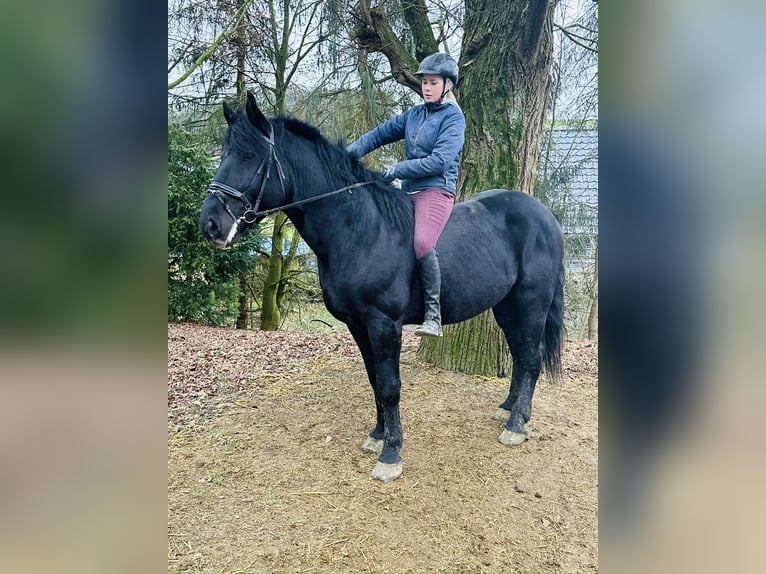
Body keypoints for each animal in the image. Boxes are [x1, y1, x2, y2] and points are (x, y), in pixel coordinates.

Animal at [201, 93, 568, 482]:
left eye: (248, 156)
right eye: (224, 153)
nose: (210, 224)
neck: (360, 229)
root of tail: (545, 217)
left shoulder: (384, 324)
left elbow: (390, 387)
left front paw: (391, 453)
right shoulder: (358, 325)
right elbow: (374, 380)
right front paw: (378, 435)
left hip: (531, 303)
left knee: (531, 358)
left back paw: (516, 424)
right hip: (507, 307)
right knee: (519, 354)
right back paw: (508, 408)